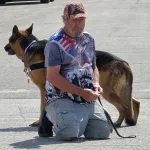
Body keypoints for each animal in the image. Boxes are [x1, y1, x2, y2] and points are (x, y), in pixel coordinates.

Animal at [4, 24, 141, 127]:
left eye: (9, 40)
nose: (4, 47)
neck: (29, 45)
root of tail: (122, 61)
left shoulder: (43, 89)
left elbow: (42, 107)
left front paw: (39, 122)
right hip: (117, 90)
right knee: (134, 102)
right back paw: (132, 121)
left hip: (106, 91)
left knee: (124, 107)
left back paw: (117, 123)